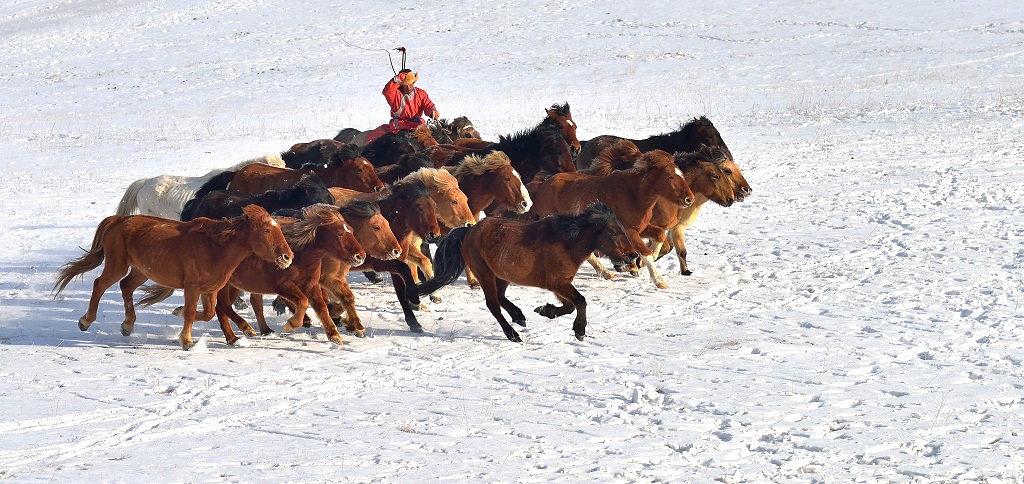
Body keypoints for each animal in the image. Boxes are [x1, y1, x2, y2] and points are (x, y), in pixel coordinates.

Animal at [53, 202, 294, 347]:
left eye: (278, 228)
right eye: (266, 230)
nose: (287, 256)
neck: (215, 247)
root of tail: (119, 220)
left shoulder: (211, 289)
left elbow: (208, 313)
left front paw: (177, 314)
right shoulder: (192, 287)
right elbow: (191, 312)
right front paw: (186, 341)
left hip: (141, 271)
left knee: (126, 286)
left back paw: (127, 325)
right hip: (117, 265)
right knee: (99, 284)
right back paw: (85, 321)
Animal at [415, 201, 638, 341]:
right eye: (614, 232)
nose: (633, 256)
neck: (567, 243)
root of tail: (468, 231)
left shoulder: (560, 284)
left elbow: (569, 306)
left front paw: (546, 310)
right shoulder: (557, 282)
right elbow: (580, 302)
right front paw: (579, 331)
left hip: (502, 275)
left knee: (500, 297)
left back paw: (519, 316)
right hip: (484, 274)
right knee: (493, 304)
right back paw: (513, 334)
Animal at [528, 149, 696, 288]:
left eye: (682, 174)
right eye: (671, 176)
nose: (690, 199)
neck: (634, 194)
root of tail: (542, 187)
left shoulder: (642, 227)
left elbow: (659, 236)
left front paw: (641, 262)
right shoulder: (629, 231)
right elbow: (645, 251)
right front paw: (659, 280)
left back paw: (606, 273)